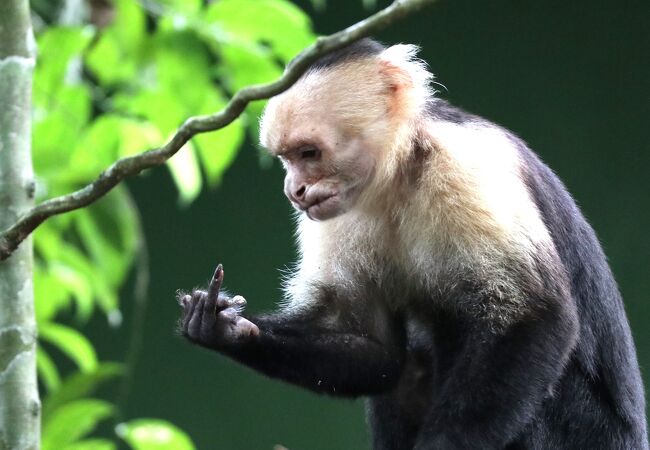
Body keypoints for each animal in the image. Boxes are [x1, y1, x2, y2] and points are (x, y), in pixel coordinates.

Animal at [175, 39, 644, 450]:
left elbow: (534, 315)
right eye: (285, 158)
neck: (398, 171)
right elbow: (376, 351)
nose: (294, 191)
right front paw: (223, 327)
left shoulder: (466, 164)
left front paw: (444, 445)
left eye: (309, 153)